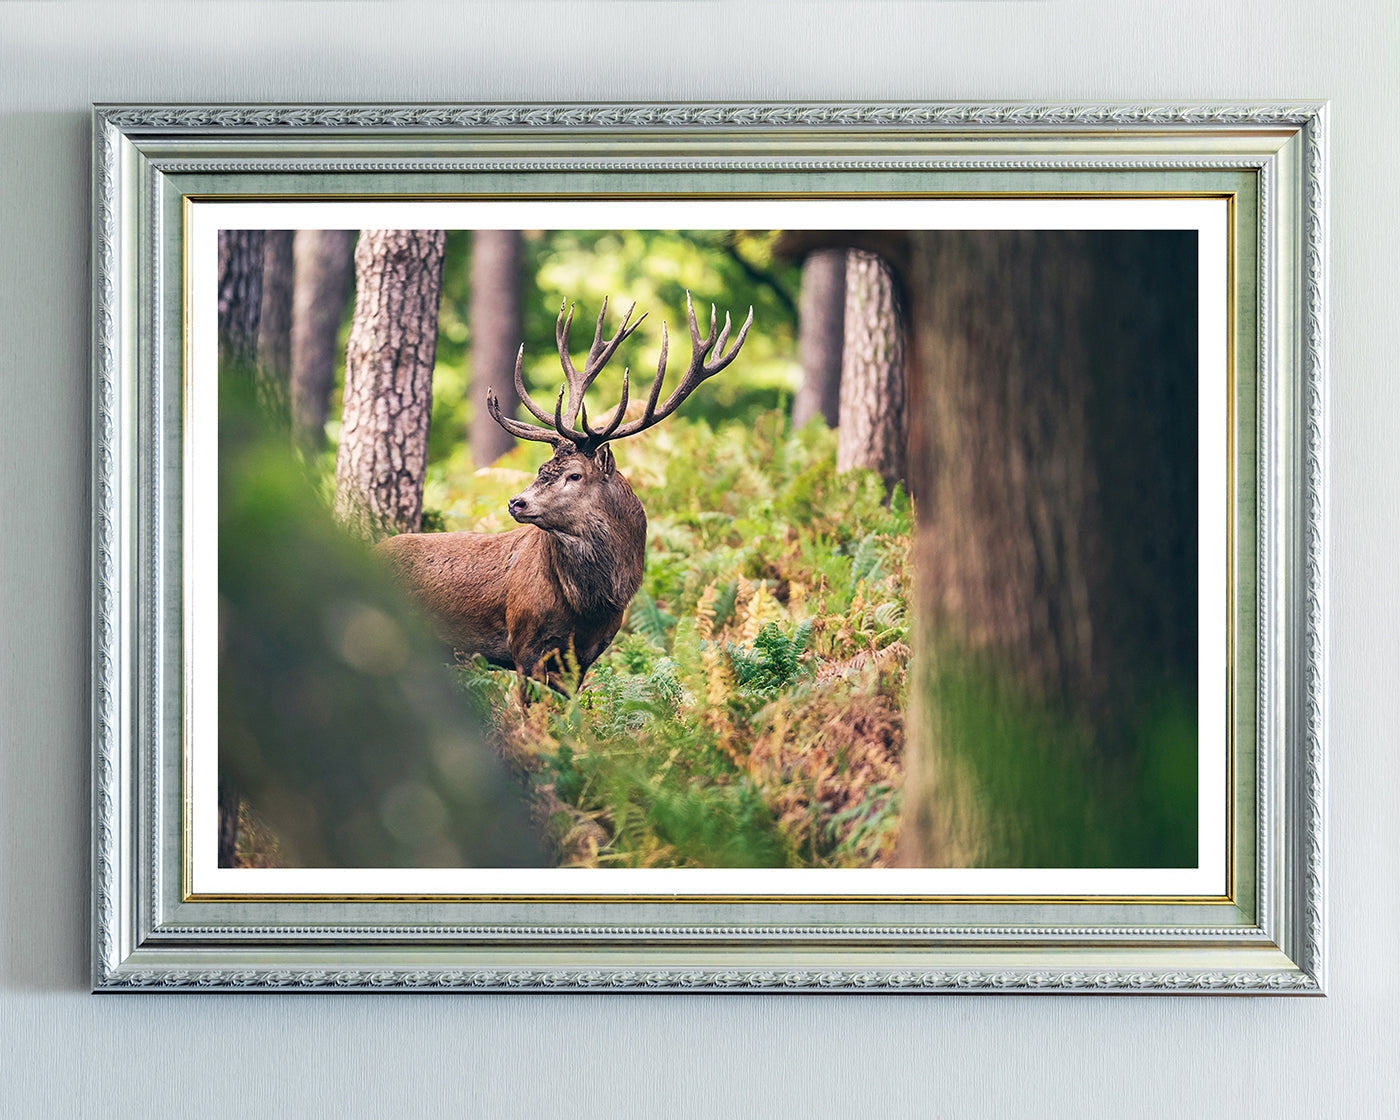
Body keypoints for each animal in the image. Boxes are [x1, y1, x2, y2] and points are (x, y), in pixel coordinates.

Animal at [376, 292, 753, 703]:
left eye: (574, 474)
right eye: (542, 467)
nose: (516, 502)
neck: (588, 608)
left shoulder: (586, 654)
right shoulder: (524, 643)